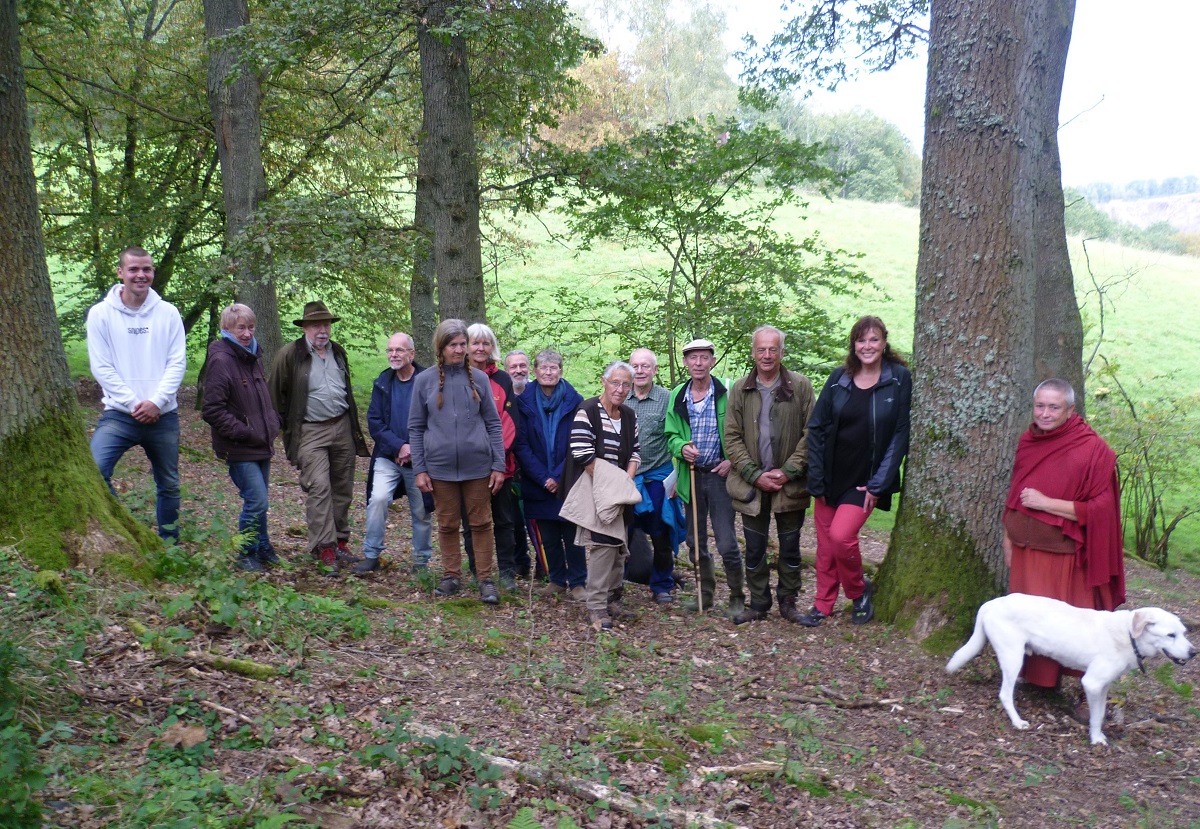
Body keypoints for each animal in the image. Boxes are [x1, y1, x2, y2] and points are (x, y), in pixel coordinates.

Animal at [945, 597, 1190, 743]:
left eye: (1184, 632)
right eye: (1170, 635)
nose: (1193, 652)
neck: (1128, 635)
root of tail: (991, 603)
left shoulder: (1103, 686)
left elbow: (1100, 713)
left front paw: (1098, 736)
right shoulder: (1092, 682)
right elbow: (1096, 715)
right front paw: (1095, 739)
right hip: (1013, 657)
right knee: (1005, 694)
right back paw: (1017, 722)